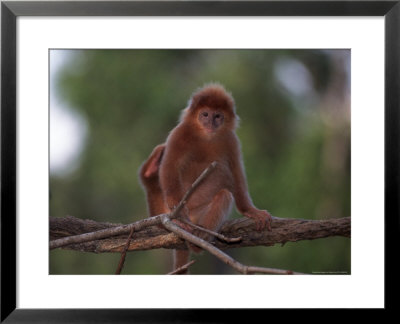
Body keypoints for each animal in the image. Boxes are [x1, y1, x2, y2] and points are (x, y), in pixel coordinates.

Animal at [139, 84, 274, 274]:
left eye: (217, 116)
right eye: (205, 114)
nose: (211, 122)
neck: (206, 136)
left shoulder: (231, 140)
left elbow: (236, 173)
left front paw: (250, 211)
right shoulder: (179, 133)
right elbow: (169, 167)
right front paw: (178, 212)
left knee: (224, 193)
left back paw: (199, 238)